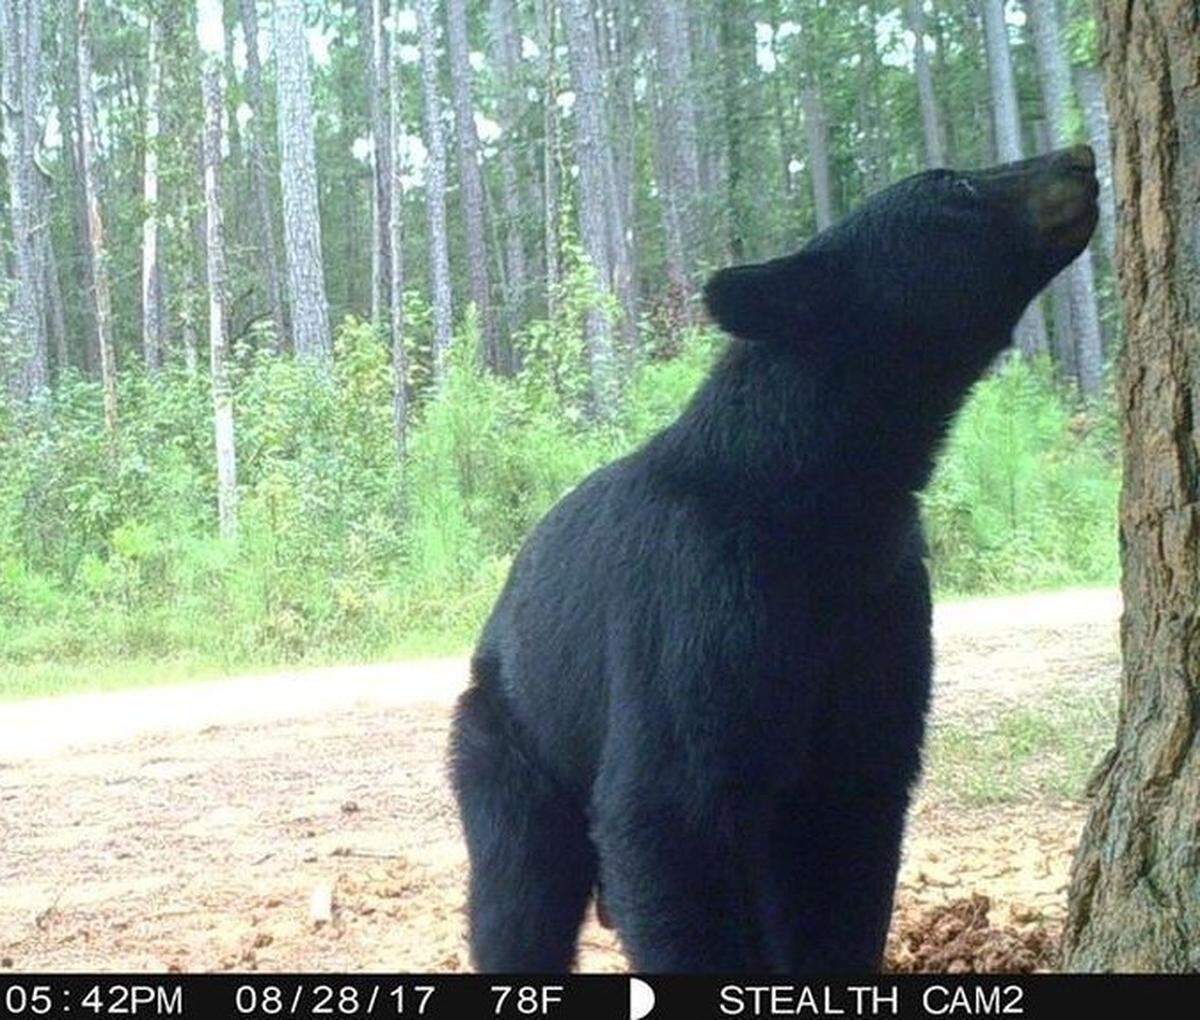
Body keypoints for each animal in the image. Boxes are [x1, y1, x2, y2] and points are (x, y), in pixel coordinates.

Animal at [449, 145, 1099, 974]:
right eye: (952, 187)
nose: (1079, 156)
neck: (820, 502)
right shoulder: (698, 603)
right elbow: (665, 814)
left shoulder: (880, 608)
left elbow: (850, 835)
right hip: (514, 743)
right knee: (517, 894)